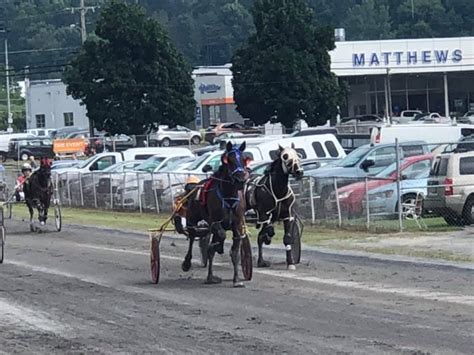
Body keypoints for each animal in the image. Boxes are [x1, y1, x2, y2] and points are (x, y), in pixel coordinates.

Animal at [181, 140, 250, 288]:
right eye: (230, 160)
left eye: (244, 159)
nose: (240, 179)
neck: (229, 196)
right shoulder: (215, 222)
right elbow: (220, 235)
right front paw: (217, 246)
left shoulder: (237, 224)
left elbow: (235, 251)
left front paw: (237, 279)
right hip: (191, 219)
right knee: (192, 236)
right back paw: (189, 264)